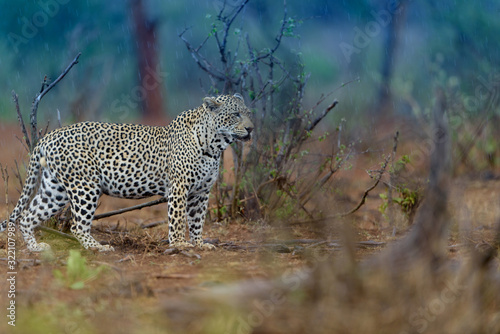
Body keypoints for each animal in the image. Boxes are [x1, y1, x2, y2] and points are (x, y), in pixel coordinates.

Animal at [0, 93, 254, 250]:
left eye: (248, 112)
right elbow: (178, 219)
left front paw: (200, 244)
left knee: (28, 215)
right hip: (85, 187)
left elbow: (197, 220)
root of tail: (47, 137)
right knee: (76, 224)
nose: (251, 128)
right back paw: (97, 248)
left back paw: (36, 248)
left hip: (55, 189)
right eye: (236, 115)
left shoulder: (201, 192)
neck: (215, 145)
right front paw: (179, 244)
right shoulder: (179, 188)